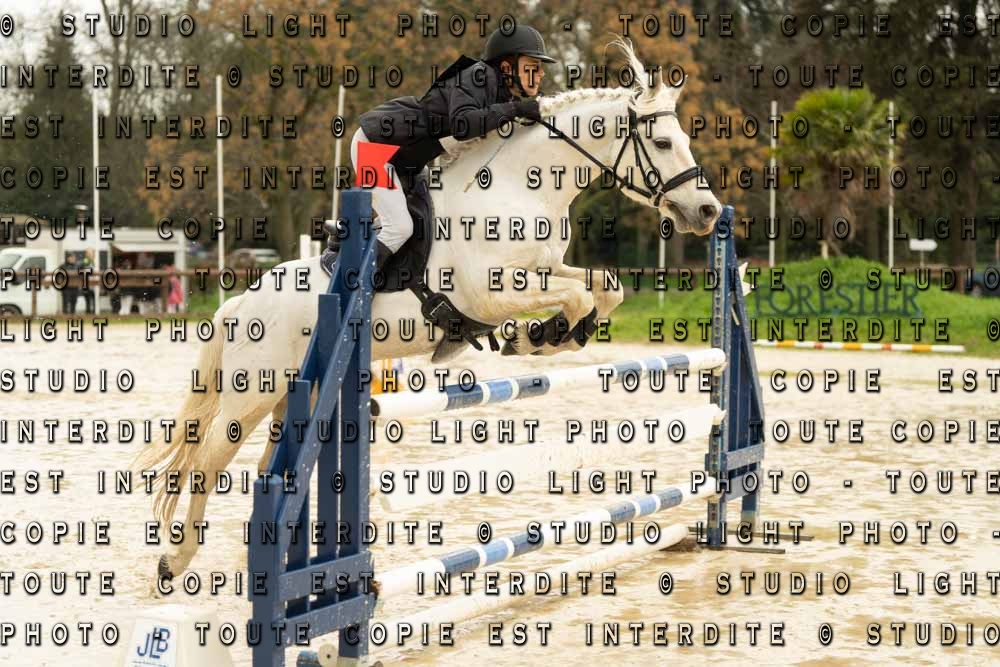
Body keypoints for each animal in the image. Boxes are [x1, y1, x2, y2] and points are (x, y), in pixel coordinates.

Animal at [135, 39, 724, 584]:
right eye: (664, 142)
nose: (709, 211)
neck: (520, 187)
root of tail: (242, 301)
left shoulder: (547, 268)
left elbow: (605, 287)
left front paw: (552, 334)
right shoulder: (489, 293)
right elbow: (576, 298)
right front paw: (537, 335)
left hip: (293, 394)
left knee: (268, 467)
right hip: (253, 390)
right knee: (210, 458)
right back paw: (175, 559)